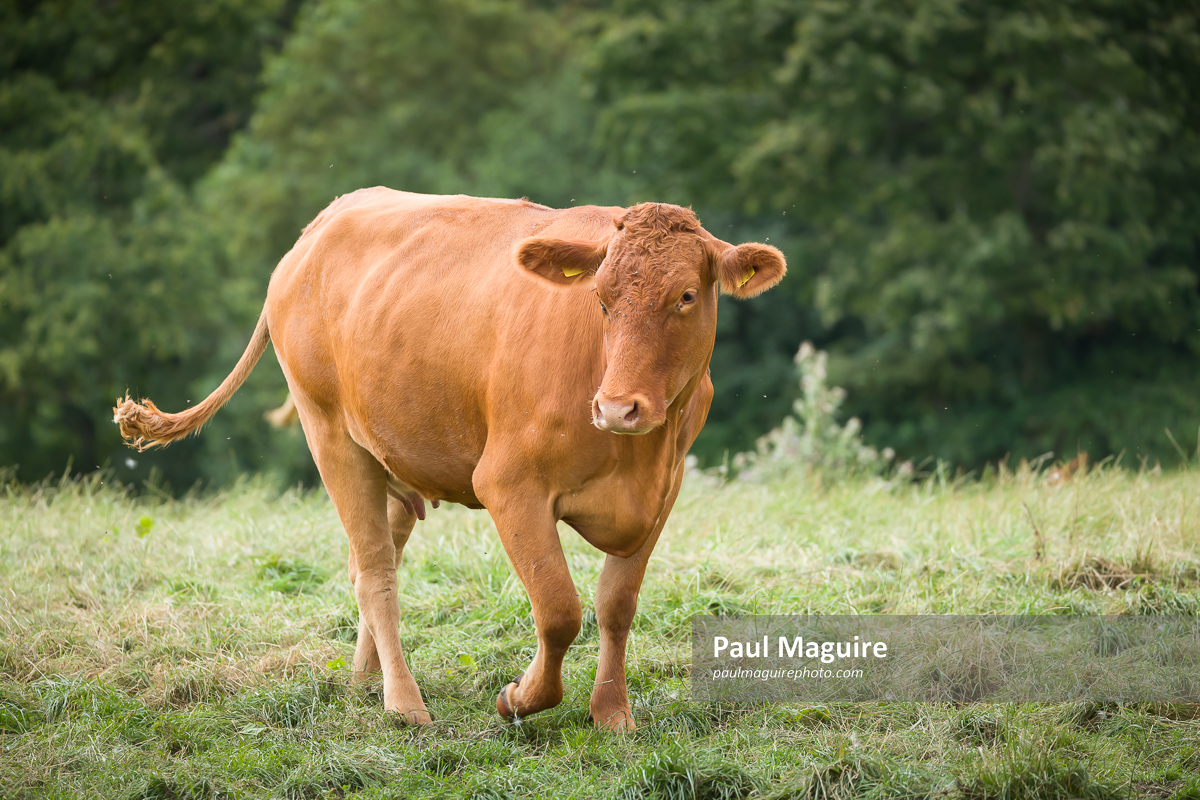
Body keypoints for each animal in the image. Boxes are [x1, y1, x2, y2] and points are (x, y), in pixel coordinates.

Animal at [114, 188, 786, 730]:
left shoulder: (661, 494)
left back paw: (368, 681)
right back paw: (404, 703)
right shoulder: (508, 485)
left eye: (686, 296)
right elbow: (559, 609)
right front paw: (520, 697)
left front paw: (612, 713)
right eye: (600, 298)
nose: (618, 408)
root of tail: (324, 221)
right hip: (329, 436)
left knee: (373, 559)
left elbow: (615, 606)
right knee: (375, 573)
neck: (636, 454)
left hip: (389, 449)